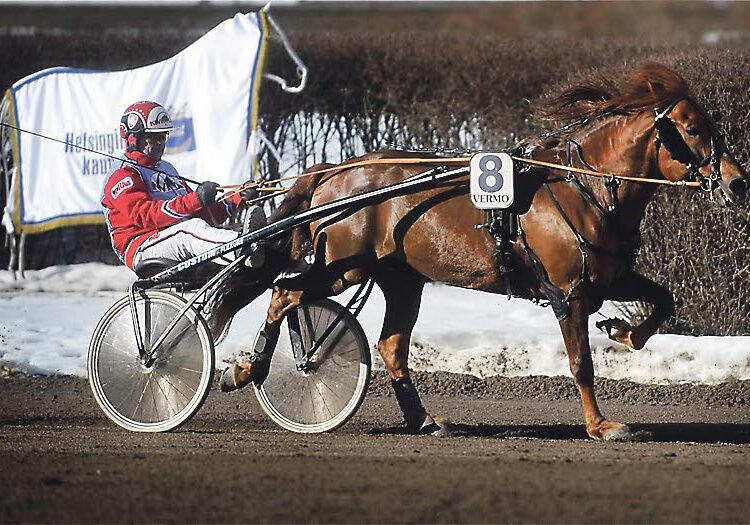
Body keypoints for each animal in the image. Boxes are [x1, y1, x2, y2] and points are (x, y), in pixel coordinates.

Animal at [217, 65, 748, 440]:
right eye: (692, 128)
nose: (737, 183)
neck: (585, 186)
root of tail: (333, 170)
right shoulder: (567, 292)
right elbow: (581, 363)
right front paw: (602, 426)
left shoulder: (608, 275)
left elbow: (663, 300)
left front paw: (623, 330)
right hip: (342, 266)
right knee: (285, 294)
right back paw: (248, 369)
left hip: (401, 277)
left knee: (390, 345)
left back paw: (424, 419)